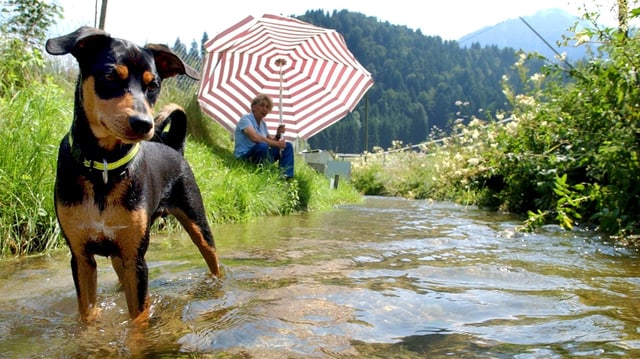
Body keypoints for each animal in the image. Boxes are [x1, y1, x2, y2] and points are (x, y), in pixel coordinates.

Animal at [45, 25, 220, 324]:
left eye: (154, 85)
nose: (144, 123)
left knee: (213, 260)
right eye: (110, 76)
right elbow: (87, 315)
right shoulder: (81, 257)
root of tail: (175, 148)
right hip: (118, 254)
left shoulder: (136, 261)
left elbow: (138, 321)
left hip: (198, 223)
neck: (104, 167)